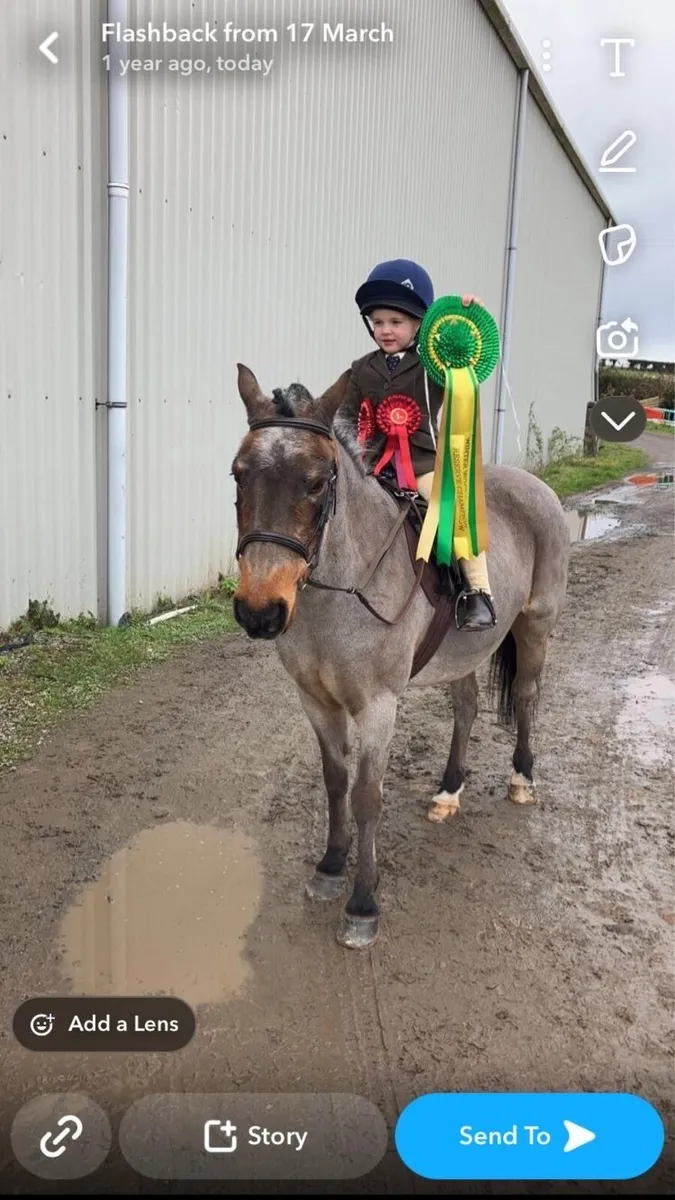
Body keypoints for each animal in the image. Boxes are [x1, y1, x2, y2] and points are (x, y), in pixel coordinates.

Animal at [231, 364, 570, 949]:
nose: (259, 612)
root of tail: (534, 485)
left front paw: (362, 903)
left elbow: (368, 796)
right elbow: (335, 781)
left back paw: (522, 780)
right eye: (237, 475)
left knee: (526, 697)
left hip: (536, 627)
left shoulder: (377, 706)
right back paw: (449, 791)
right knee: (466, 707)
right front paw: (330, 866)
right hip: (465, 652)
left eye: (316, 482)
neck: (338, 593)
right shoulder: (315, 701)